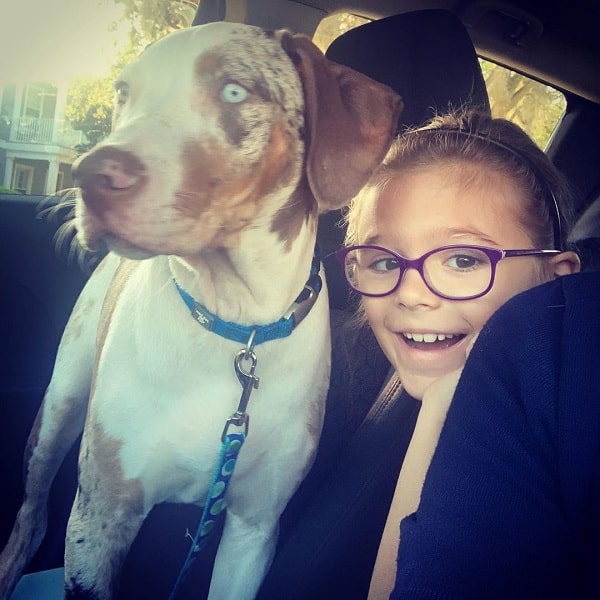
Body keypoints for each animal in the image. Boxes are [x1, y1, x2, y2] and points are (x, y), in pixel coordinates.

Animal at [1, 21, 404, 596]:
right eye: (124, 94)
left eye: (234, 91)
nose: (89, 173)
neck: (235, 323)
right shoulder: (99, 517)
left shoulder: (253, 531)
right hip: (58, 409)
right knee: (30, 518)